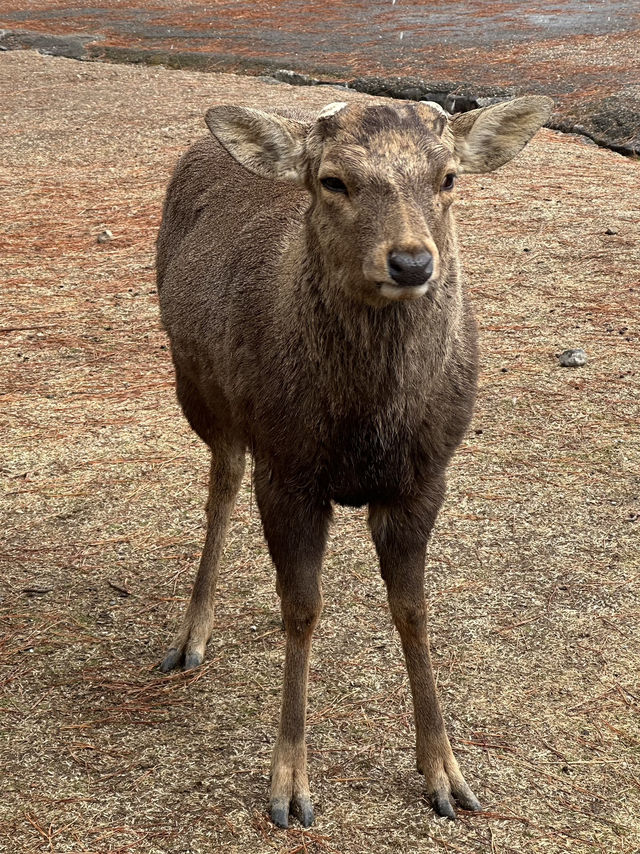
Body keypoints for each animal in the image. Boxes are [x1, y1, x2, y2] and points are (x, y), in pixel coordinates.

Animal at [154, 93, 552, 828]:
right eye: (333, 181)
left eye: (448, 177)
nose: (412, 262)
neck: (367, 425)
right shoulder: (288, 471)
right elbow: (303, 610)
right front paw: (288, 787)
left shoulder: (424, 478)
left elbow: (413, 610)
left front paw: (446, 775)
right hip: (200, 391)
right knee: (222, 484)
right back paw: (192, 633)